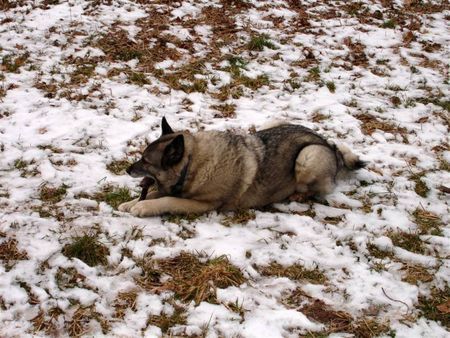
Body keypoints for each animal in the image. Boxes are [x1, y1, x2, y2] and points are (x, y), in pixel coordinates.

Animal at [118, 116, 364, 217]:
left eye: (145, 161)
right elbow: (153, 192)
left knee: (314, 190)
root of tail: (329, 145)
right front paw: (131, 202)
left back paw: (298, 196)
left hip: (307, 156)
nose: (128, 170)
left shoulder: (203, 204)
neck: (192, 164)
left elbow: (167, 199)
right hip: (271, 124)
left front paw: (143, 207)